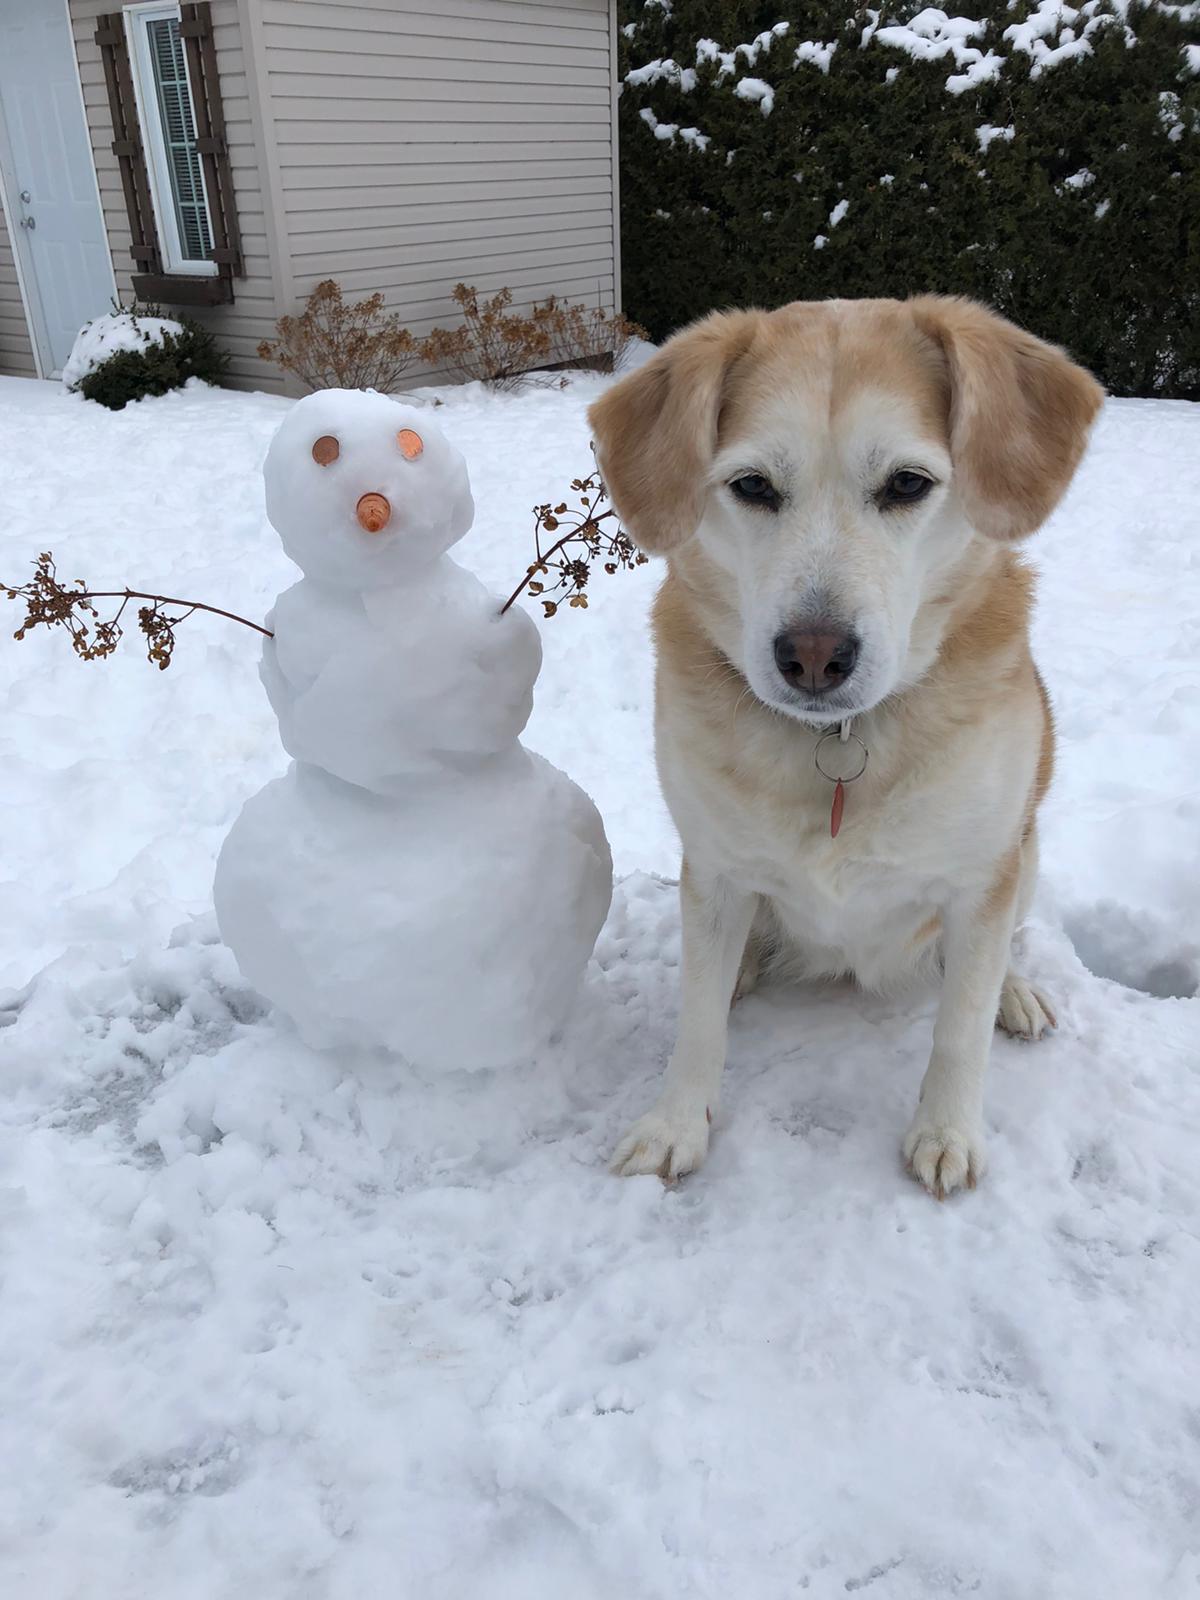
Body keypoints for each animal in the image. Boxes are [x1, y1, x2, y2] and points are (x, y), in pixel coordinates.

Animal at [587, 296, 1103, 1198]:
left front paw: (947, 1130)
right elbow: (696, 1023)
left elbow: (960, 1025)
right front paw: (675, 1124)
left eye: (907, 484)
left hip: (1026, 852)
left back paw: (1015, 993)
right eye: (752, 487)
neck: (838, 740)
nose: (814, 655)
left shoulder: (982, 877)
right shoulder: (714, 871)